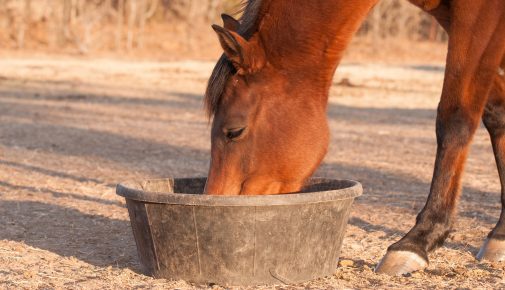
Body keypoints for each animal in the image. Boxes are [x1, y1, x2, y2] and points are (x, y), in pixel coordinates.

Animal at [202, 0, 504, 276]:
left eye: (234, 131)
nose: (215, 201)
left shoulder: (479, 14)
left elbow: (455, 118)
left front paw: (418, 240)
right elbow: (497, 114)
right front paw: (499, 235)